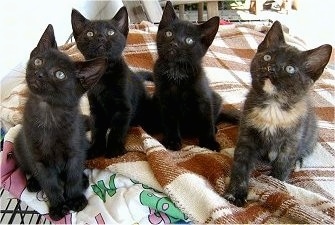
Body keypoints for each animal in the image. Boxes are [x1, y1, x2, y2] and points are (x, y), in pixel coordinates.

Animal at [14, 24, 106, 220]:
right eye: (38, 61)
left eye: (60, 74)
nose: (39, 74)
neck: (48, 115)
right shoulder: (39, 160)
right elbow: (50, 183)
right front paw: (57, 206)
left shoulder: (75, 152)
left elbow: (72, 177)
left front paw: (75, 199)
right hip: (19, 146)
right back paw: (33, 183)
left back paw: (84, 181)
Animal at [72, 7, 151, 158]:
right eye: (90, 33)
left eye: (111, 32)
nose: (100, 37)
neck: (104, 76)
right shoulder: (96, 110)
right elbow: (97, 130)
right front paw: (96, 148)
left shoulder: (123, 108)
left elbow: (116, 130)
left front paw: (113, 149)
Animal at [153, 1, 228, 151]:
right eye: (169, 33)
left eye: (189, 40)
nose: (174, 43)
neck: (177, 72)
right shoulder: (165, 101)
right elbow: (170, 122)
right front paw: (172, 141)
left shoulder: (204, 100)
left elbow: (206, 123)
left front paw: (209, 142)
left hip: (216, 98)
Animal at [224, 20, 332, 206]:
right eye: (267, 57)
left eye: (290, 69)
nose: (272, 67)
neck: (273, 106)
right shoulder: (247, 135)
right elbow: (241, 165)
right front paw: (235, 193)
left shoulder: (291, 142)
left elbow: (282, 167)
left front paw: (276, 187)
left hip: (311, 135)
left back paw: (298, 162)